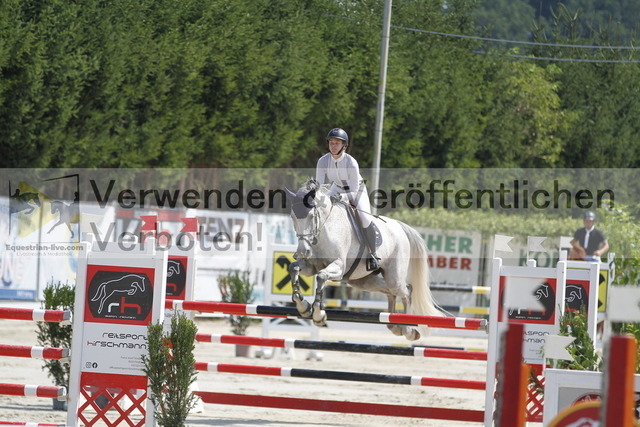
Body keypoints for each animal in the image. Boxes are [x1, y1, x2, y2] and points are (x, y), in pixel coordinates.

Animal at [285, 178, 442, 340]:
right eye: (292, 217)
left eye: (311, 216)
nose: (302, 252)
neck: (324, 230)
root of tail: (400, 226)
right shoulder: (311, 267)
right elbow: (293, 268)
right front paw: (303, 306)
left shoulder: (339, 266)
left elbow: (321, 276)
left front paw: (318, 315)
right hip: (364, 281)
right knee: (390, 292)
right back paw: (395, 326)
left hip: (394, 278)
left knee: (407, 291)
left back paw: (409, 330)